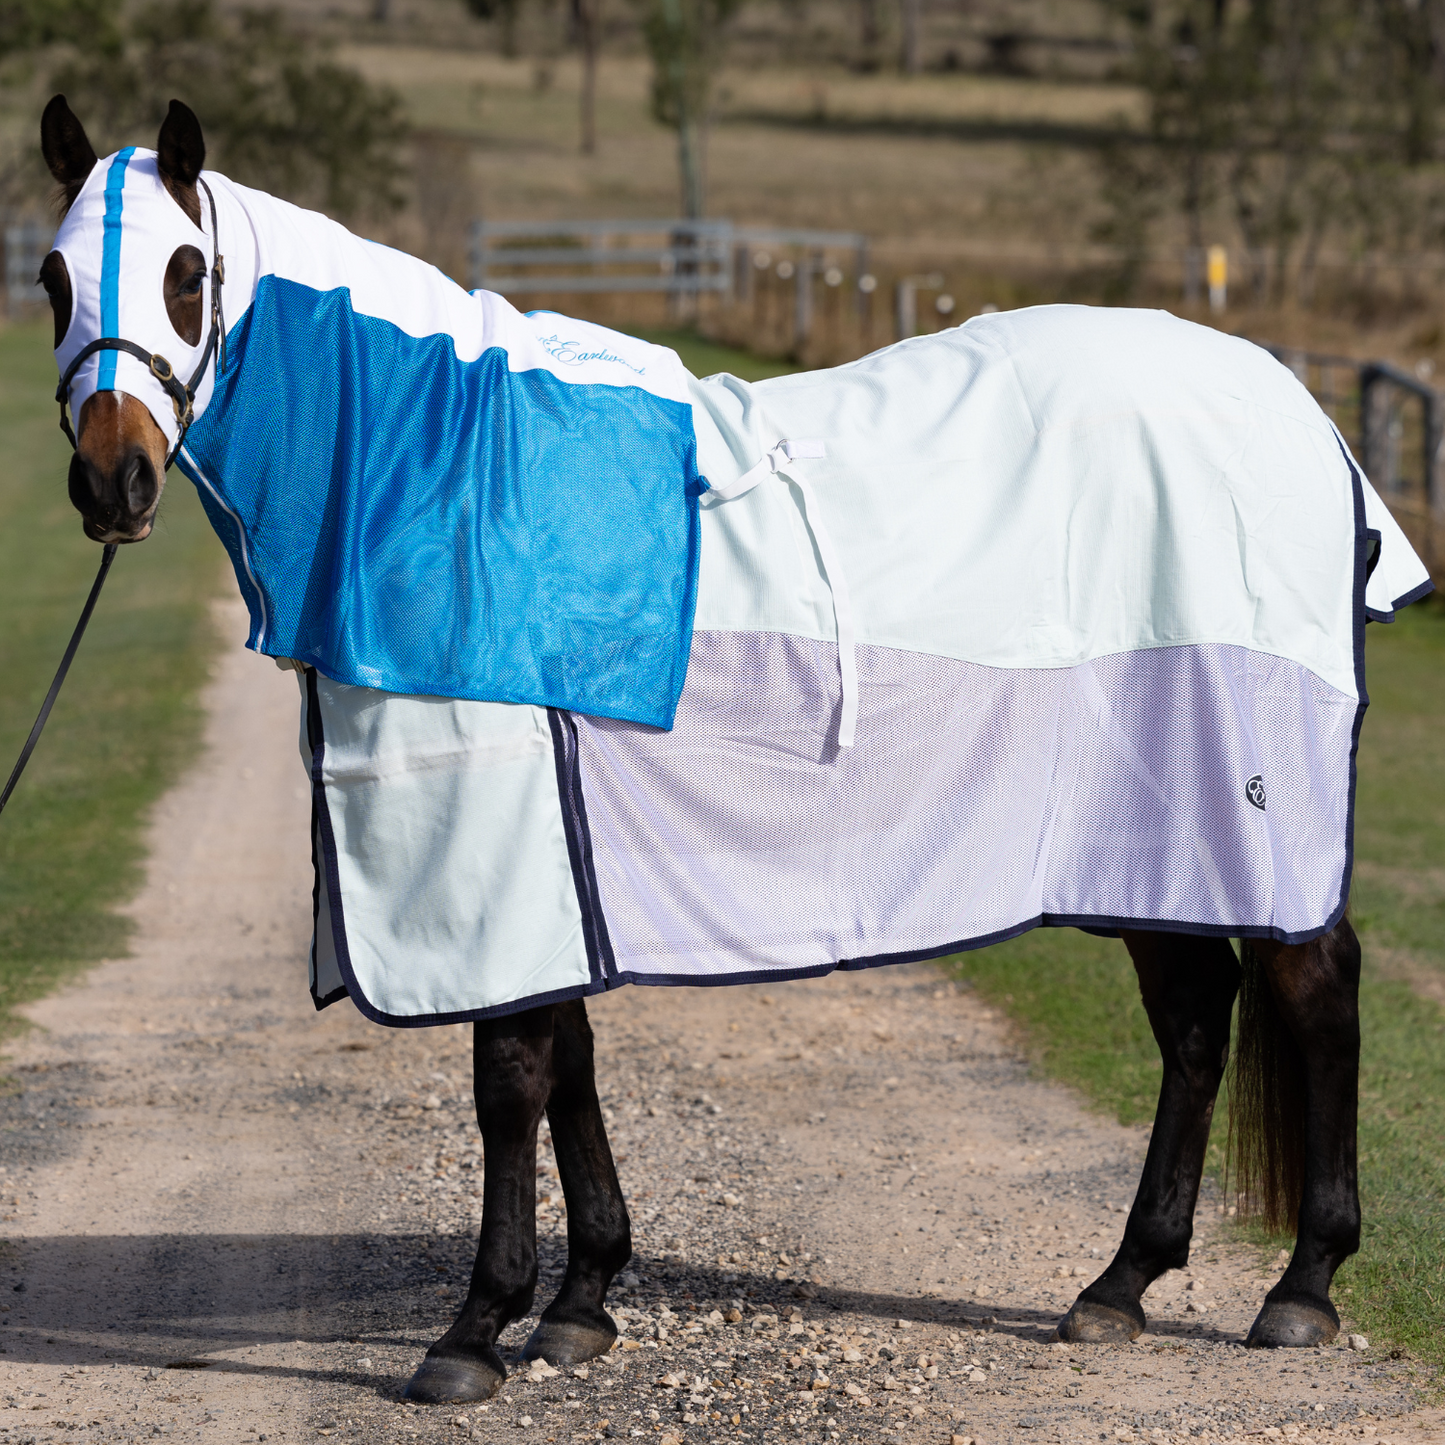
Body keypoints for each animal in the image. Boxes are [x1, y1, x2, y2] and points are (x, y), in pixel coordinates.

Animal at [36, 93, 1433, 1398]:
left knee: (1313, 985)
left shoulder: (501, 840)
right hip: (1146, 832)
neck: (444, 469)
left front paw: (475, 1329)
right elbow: (570, 1060)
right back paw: (1120, 1281)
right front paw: (582, 1300)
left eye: (187, 273)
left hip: (1249, 808)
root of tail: (1298, 410)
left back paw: (1301, 1284)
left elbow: (509, 1076)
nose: (112, 485)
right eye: (51, 277)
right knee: (1196, 1021)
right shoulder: (558, 863)